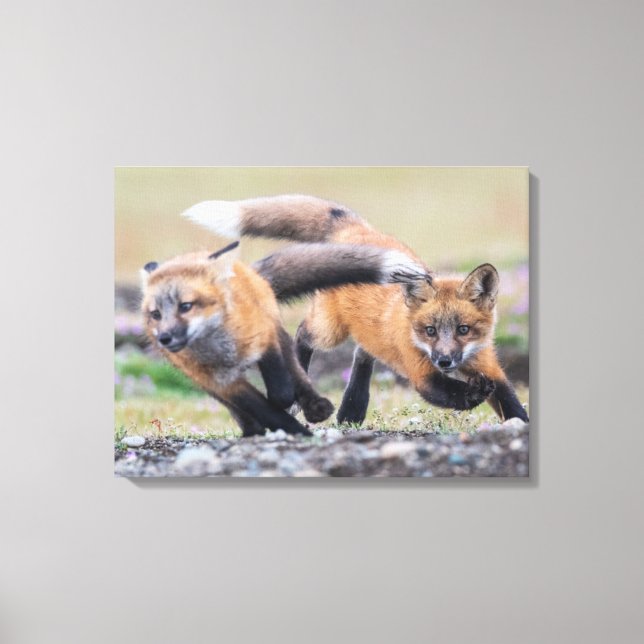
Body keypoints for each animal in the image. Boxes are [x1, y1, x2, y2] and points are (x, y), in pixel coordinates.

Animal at [141, 239, 429, 437]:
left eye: (186, 306)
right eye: (155, 314)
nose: (164, 338)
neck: (222, 349)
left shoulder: (266, 338)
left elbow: (280, 388)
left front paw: (292, 409)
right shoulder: (222, 382)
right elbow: (260, 407)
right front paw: (292, 430)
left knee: (298, 362)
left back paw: (315, 406)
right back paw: (254, 430)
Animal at [182, 195, 529, 424]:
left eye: (463, 329)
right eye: (429, 330)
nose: (444, 360)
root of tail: (355, 230)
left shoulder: (488, 364)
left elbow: (509, 400)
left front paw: (519, 424)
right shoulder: (421, 372)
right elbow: (449, 393)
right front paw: (473, 395)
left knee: (363, 354)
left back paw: (352, 410)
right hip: (329, 331)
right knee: (303, 334)